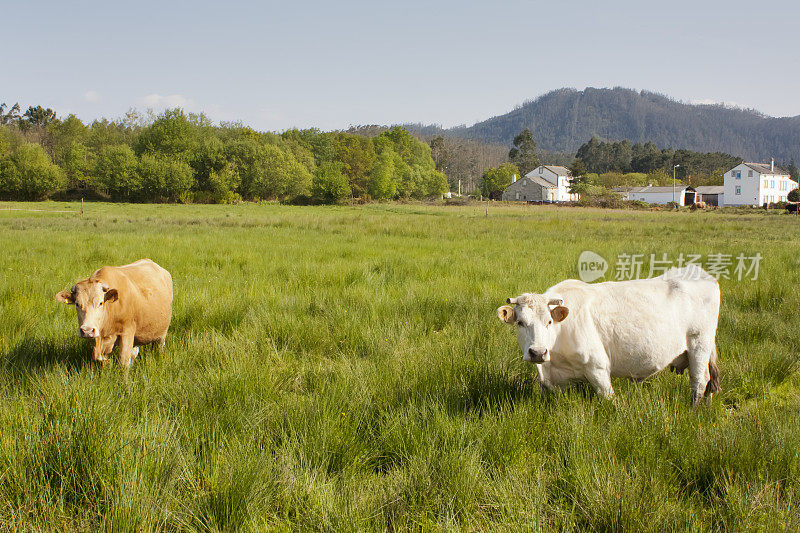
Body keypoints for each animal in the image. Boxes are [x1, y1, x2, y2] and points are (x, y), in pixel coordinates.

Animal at [496, 266, 720, 404]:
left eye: (549, 322)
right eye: (520, 323)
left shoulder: (598, 367)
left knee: (699, 381)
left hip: (699, 344)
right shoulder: (552, 381)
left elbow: (609, 400)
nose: (537, 352)